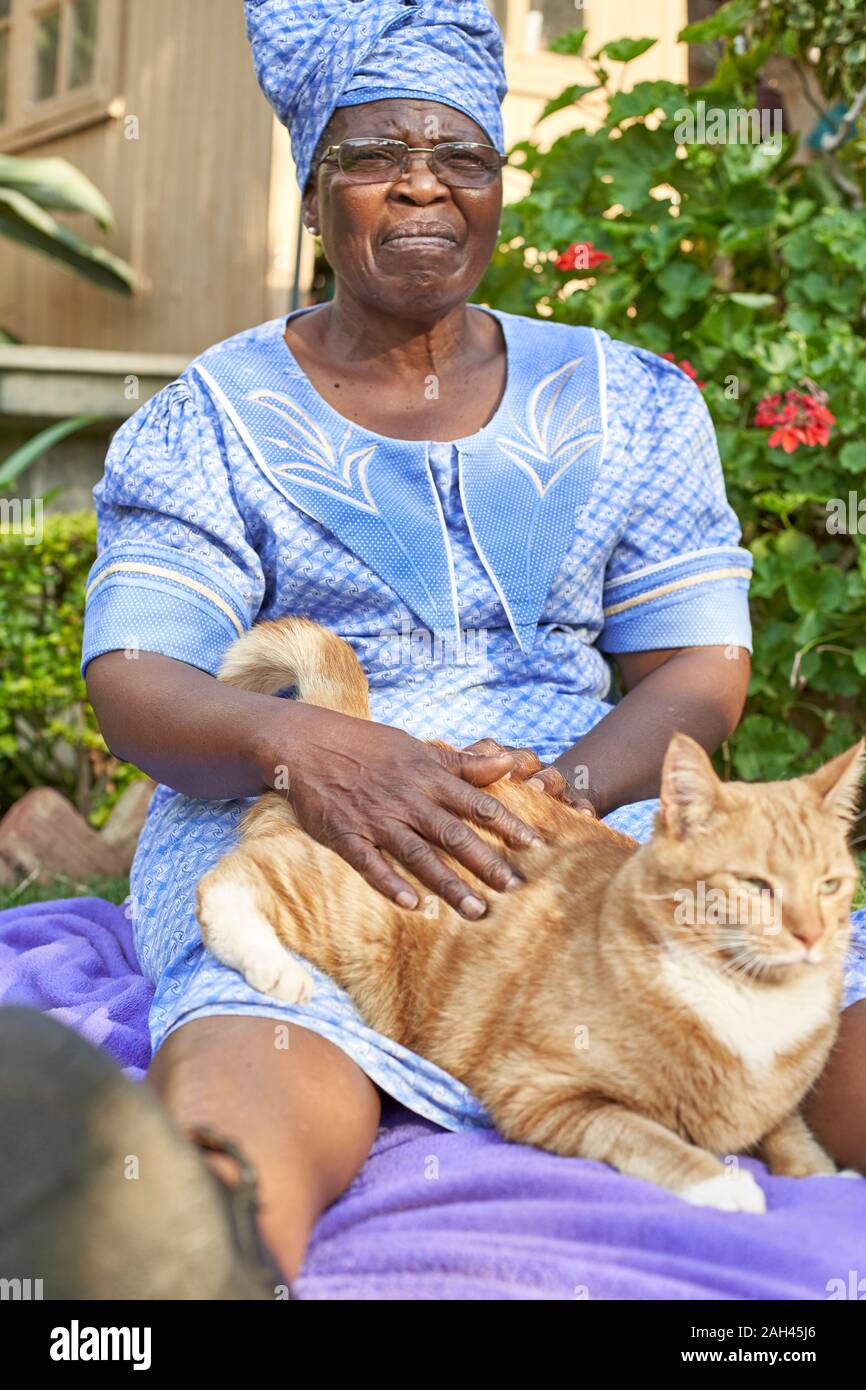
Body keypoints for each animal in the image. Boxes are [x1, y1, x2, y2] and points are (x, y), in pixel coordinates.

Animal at [198, 614, 866, 1212]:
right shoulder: (545, 1095)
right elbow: (645, 1134)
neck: (752, 1006)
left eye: (831, 885)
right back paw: (276, 968)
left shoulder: (771, 1106)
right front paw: (723, 1184)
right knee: (229, 882)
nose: (810, 934)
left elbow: (791, 1132)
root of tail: (366, 735)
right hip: (347, 910)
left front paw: (822, 1176)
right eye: (755, 884)